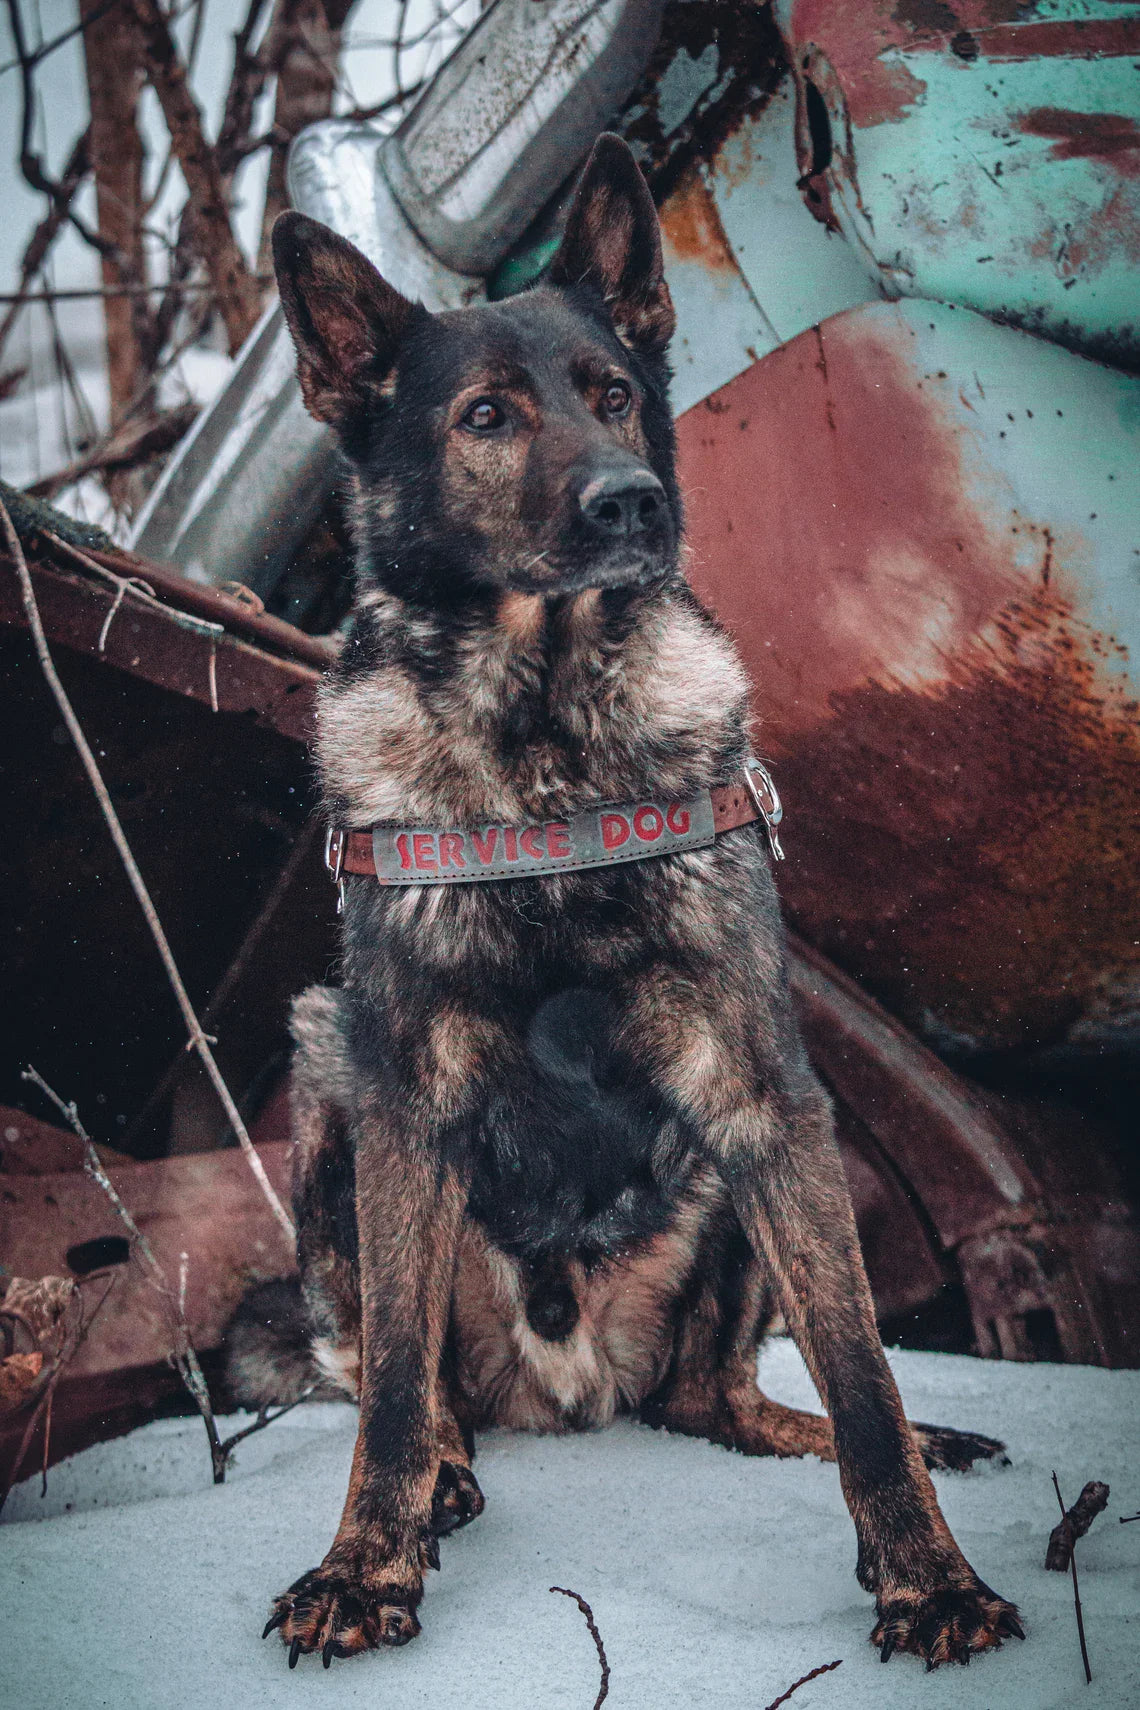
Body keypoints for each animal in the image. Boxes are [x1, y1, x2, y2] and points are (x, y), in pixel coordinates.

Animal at [234, 140, 1025, 1675]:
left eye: (612, 394)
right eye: (486, 416)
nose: (628, 502)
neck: (546, 749)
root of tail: (569, 1376)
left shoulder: (766, 1091)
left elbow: (866, 1380)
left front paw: (928, 1581)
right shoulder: (404, 1102)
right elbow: (390, 1396)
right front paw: (365, 1566)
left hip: (740, 1190)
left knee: (724, 1400)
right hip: (325, 1069)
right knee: (403, 1379)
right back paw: (449, 1476)